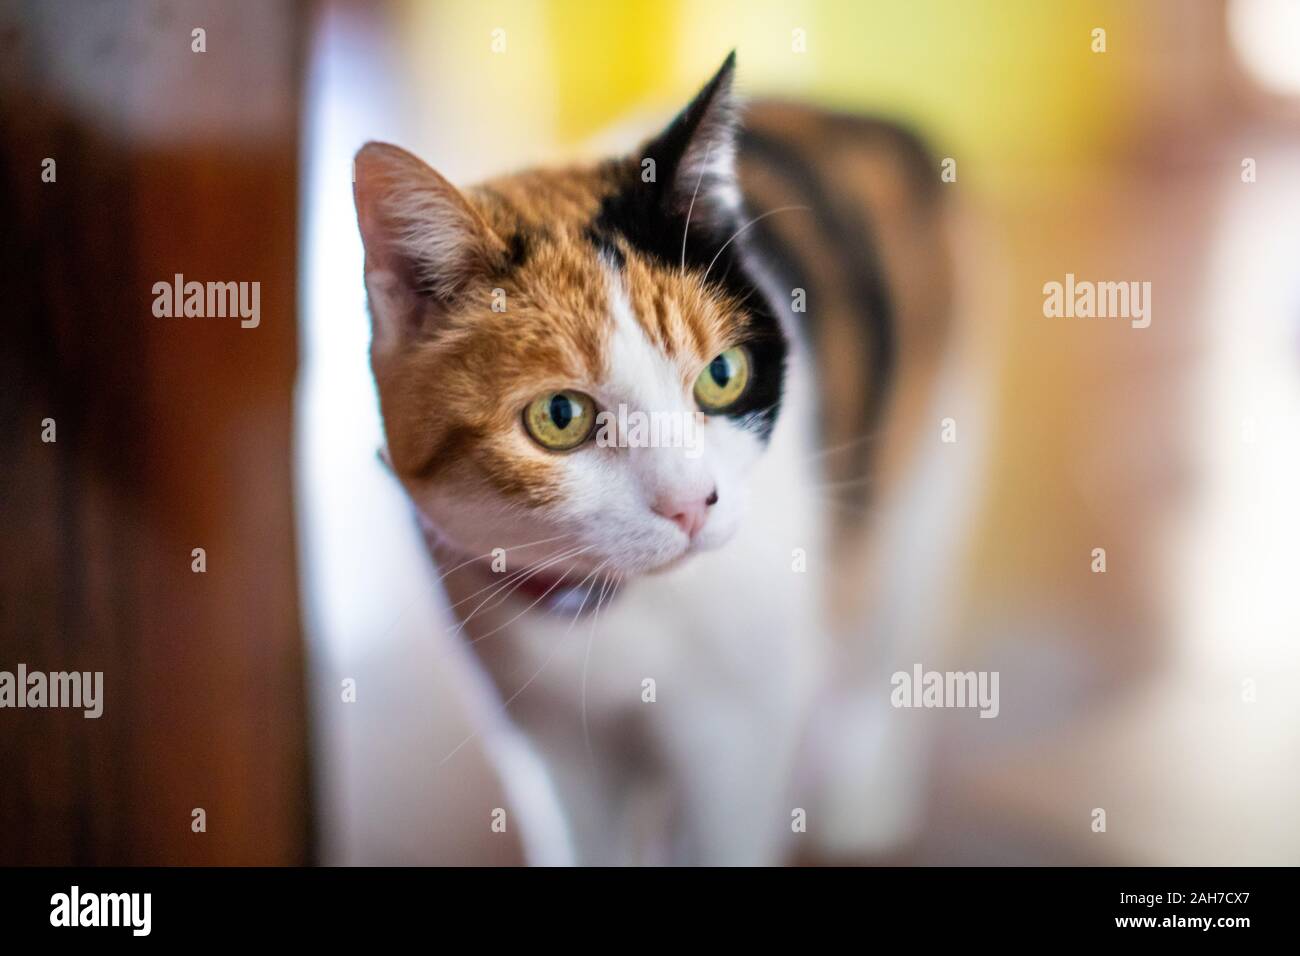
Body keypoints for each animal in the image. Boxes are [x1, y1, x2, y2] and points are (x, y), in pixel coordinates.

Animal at [353, 54, 956, 868]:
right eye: (561, 417)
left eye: (722, 375)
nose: (691, 504)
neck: (616, 615)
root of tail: (852, 109)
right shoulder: (552, 752)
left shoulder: (736, 739)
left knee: (881, 651)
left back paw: (865, 806)